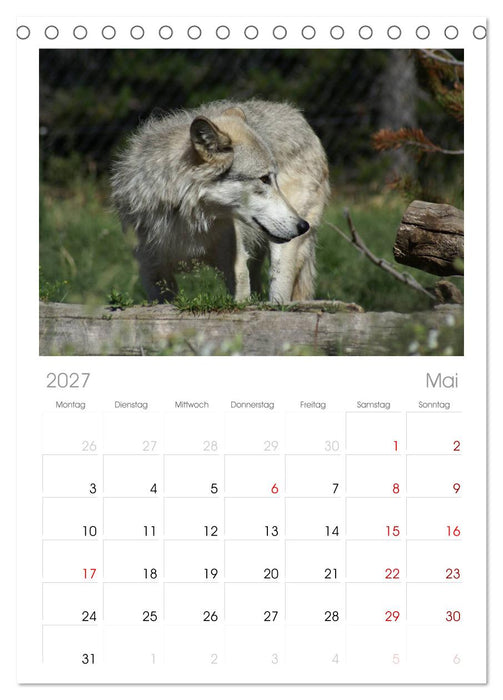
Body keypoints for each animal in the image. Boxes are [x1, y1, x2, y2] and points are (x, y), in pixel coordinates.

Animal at [111, 99, 329, 303]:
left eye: (274, 178)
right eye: (264, 179)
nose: (303, 225)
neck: (187, 219)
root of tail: (298, 115)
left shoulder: (236, 266)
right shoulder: (153, 274)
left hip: (283, 254)